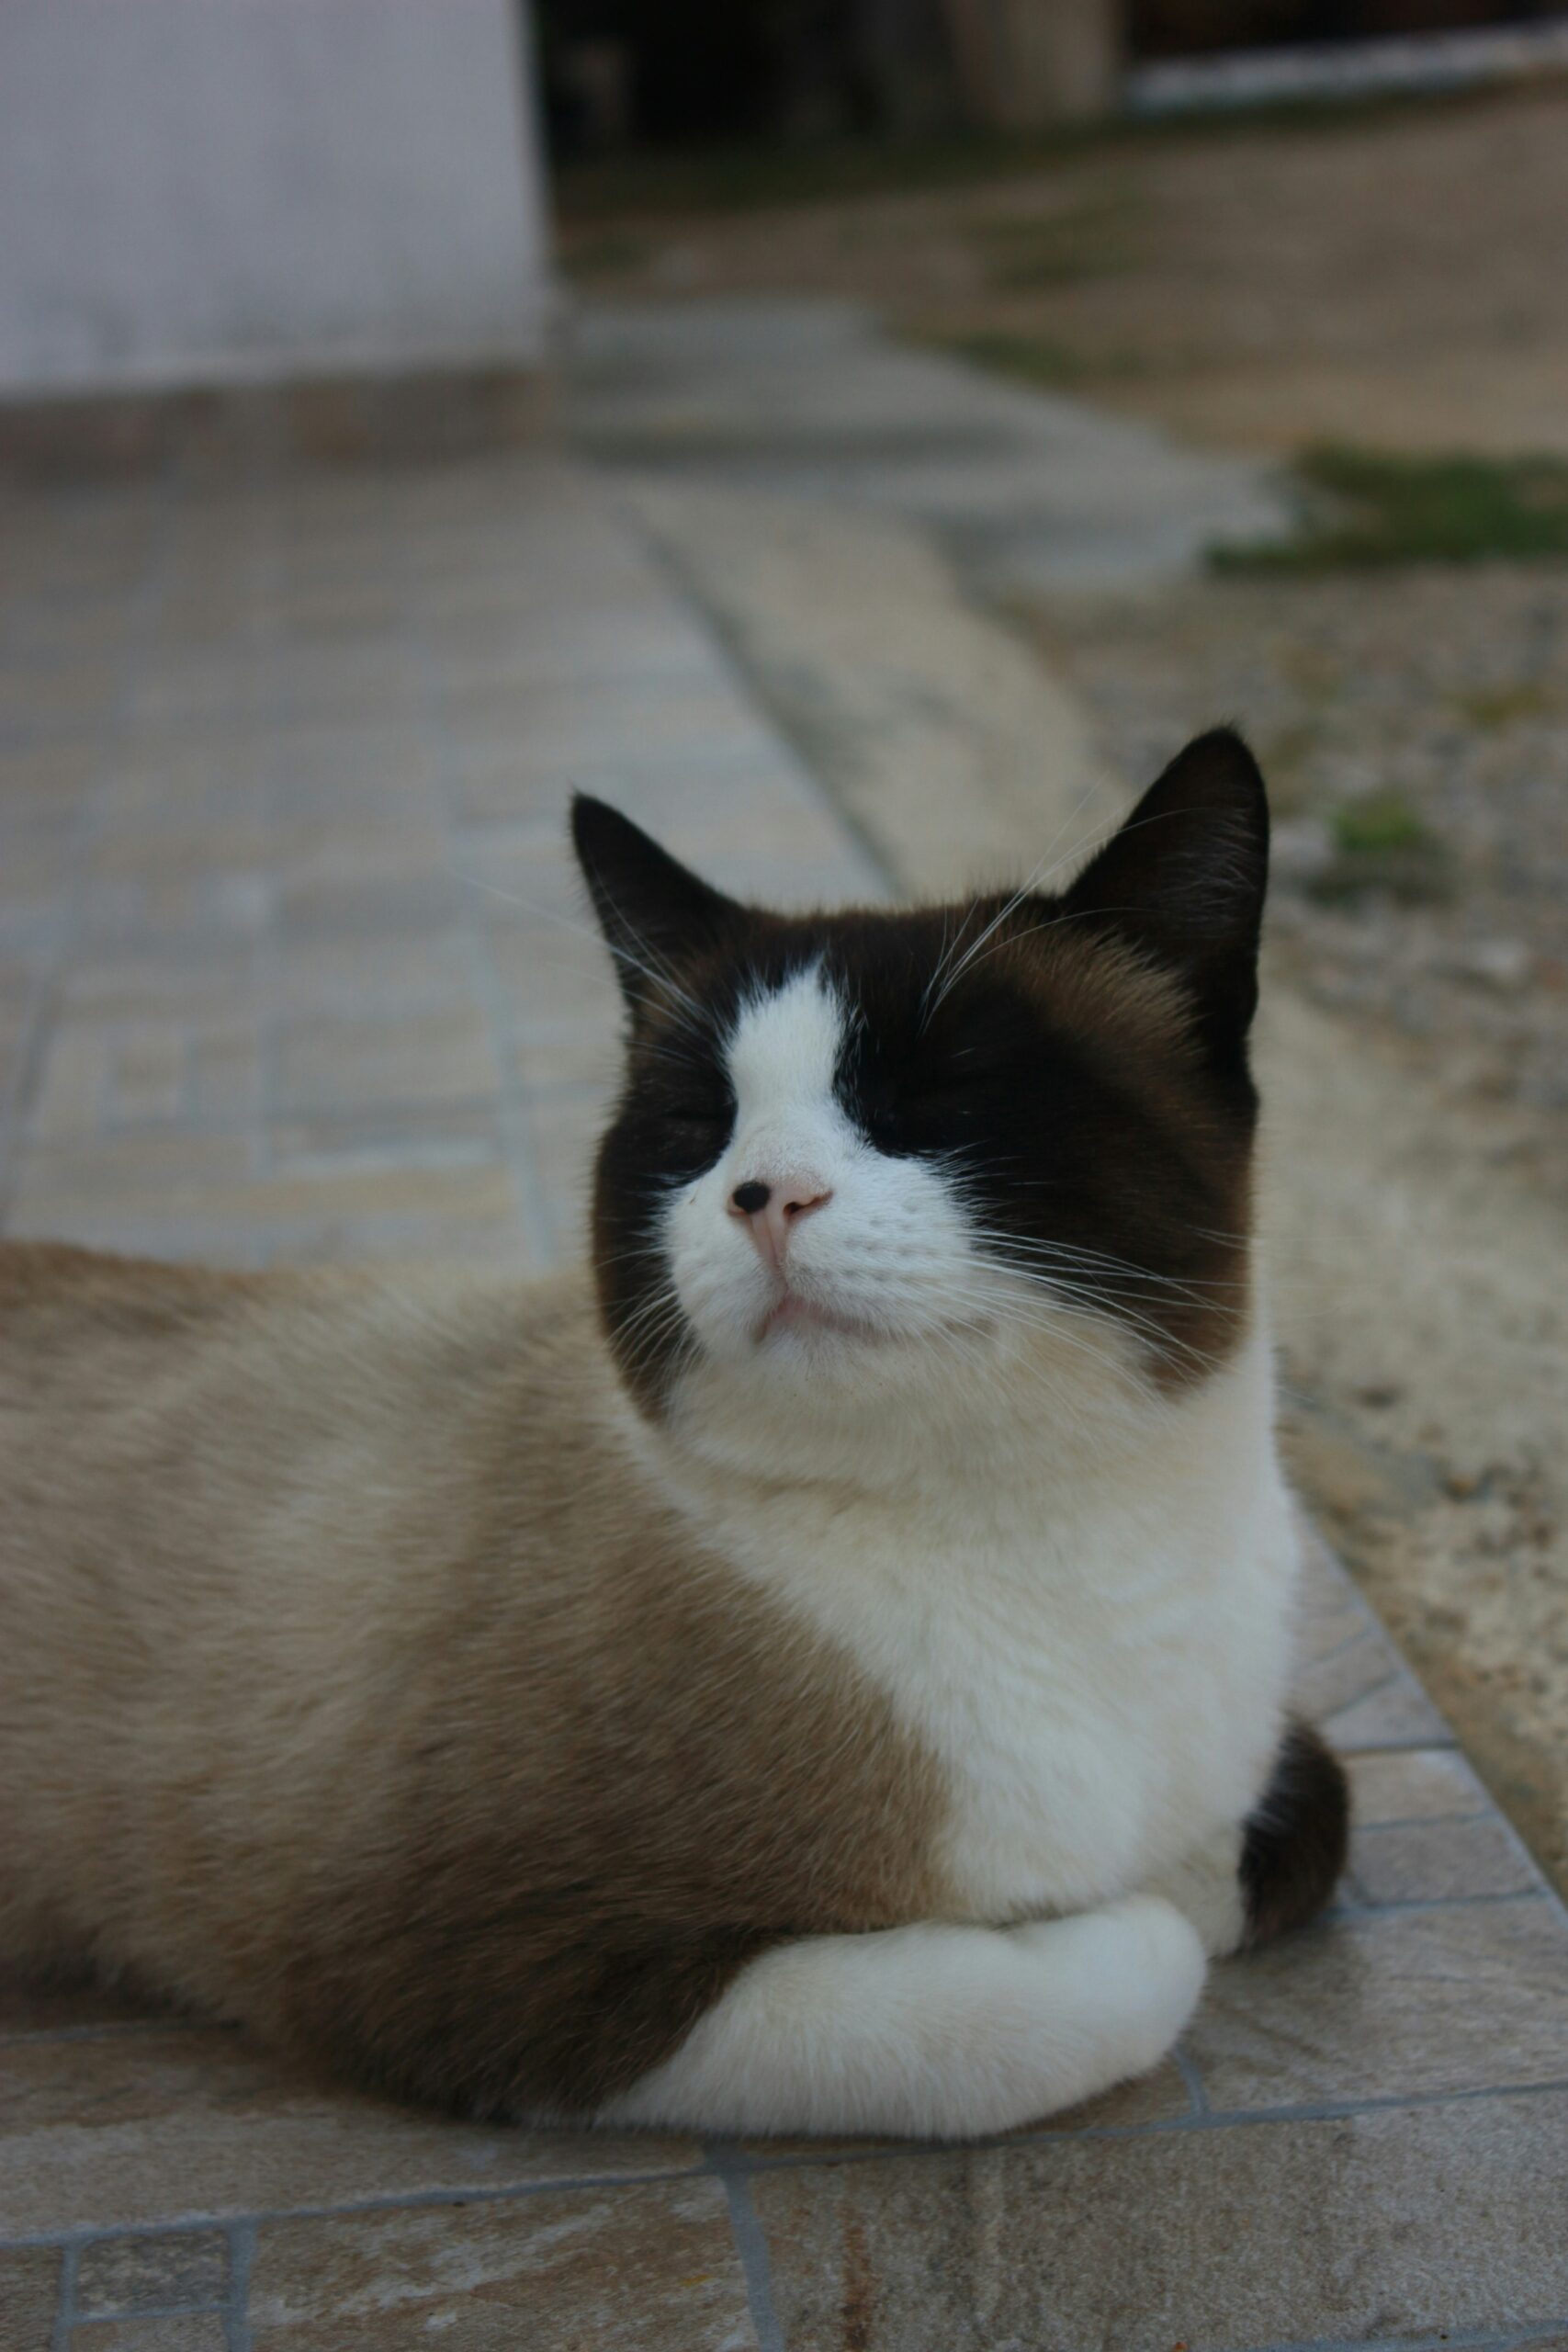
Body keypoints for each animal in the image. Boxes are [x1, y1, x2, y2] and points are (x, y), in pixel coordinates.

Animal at [0, 724, 1354, 2144]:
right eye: (699, 1128)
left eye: (938, 1098)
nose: (765, 1196)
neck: (1050, 1545)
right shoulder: (508, 1966)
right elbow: (1098, 1980)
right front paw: (1102, 1910)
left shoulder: (1266, 1762)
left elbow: (1301, 1817)